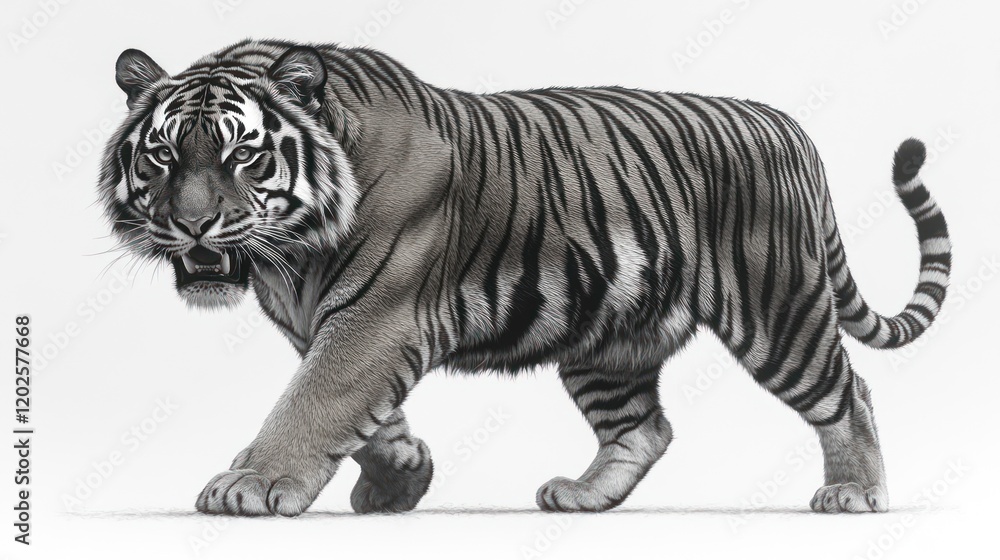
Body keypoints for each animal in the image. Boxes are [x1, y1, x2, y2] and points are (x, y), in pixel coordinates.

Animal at [99, 39, 951, 516]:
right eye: (163, 156)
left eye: (243, 154)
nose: (193, 225)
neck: (290, 252)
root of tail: (788, 124)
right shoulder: (344, 328)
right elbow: (366, 414)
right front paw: (402, 478)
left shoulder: (374, 320)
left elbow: (312, 403)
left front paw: (251, 483)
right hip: (608, 337)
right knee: (646, 427)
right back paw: (582, 496)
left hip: (778, 308)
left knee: (849, 391)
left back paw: (857, 495)